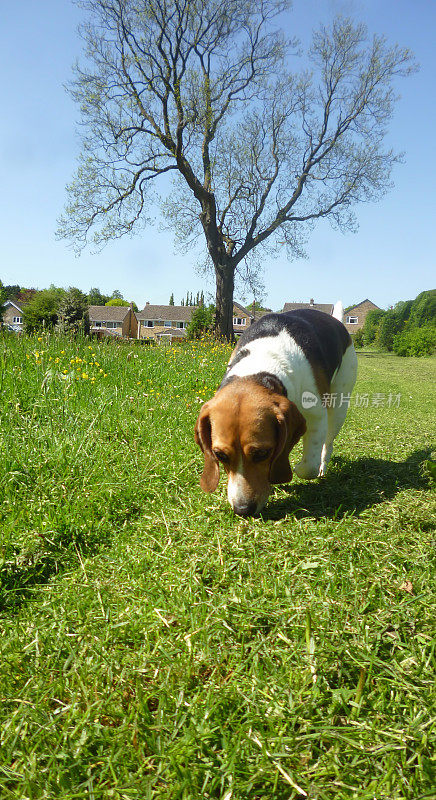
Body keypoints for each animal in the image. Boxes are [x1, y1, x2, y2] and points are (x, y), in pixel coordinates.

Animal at [195, 310, 358, 516]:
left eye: (262, 453)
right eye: (220, 455)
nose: (243, 510)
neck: (259, 368)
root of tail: (336, 321)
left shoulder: (316, 417)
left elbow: (308, 467)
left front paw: (293, 469)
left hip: (339, 405)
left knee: (327, 443)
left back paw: (323, 464)